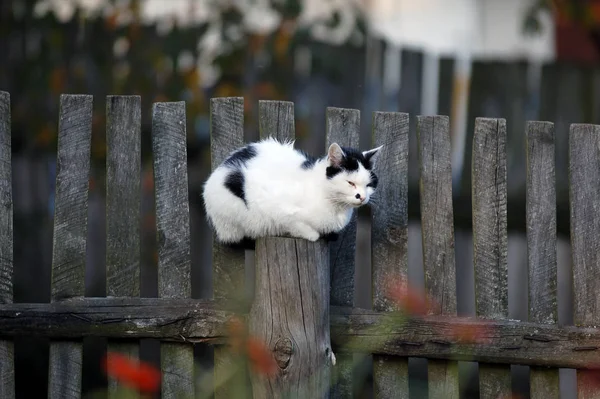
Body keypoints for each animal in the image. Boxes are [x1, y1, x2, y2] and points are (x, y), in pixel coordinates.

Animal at [202, 138, 380, 250]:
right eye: (350, 183)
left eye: (369, 185)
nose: (362, 196)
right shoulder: (274, 207)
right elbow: (295, 223)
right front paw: (313, 235)